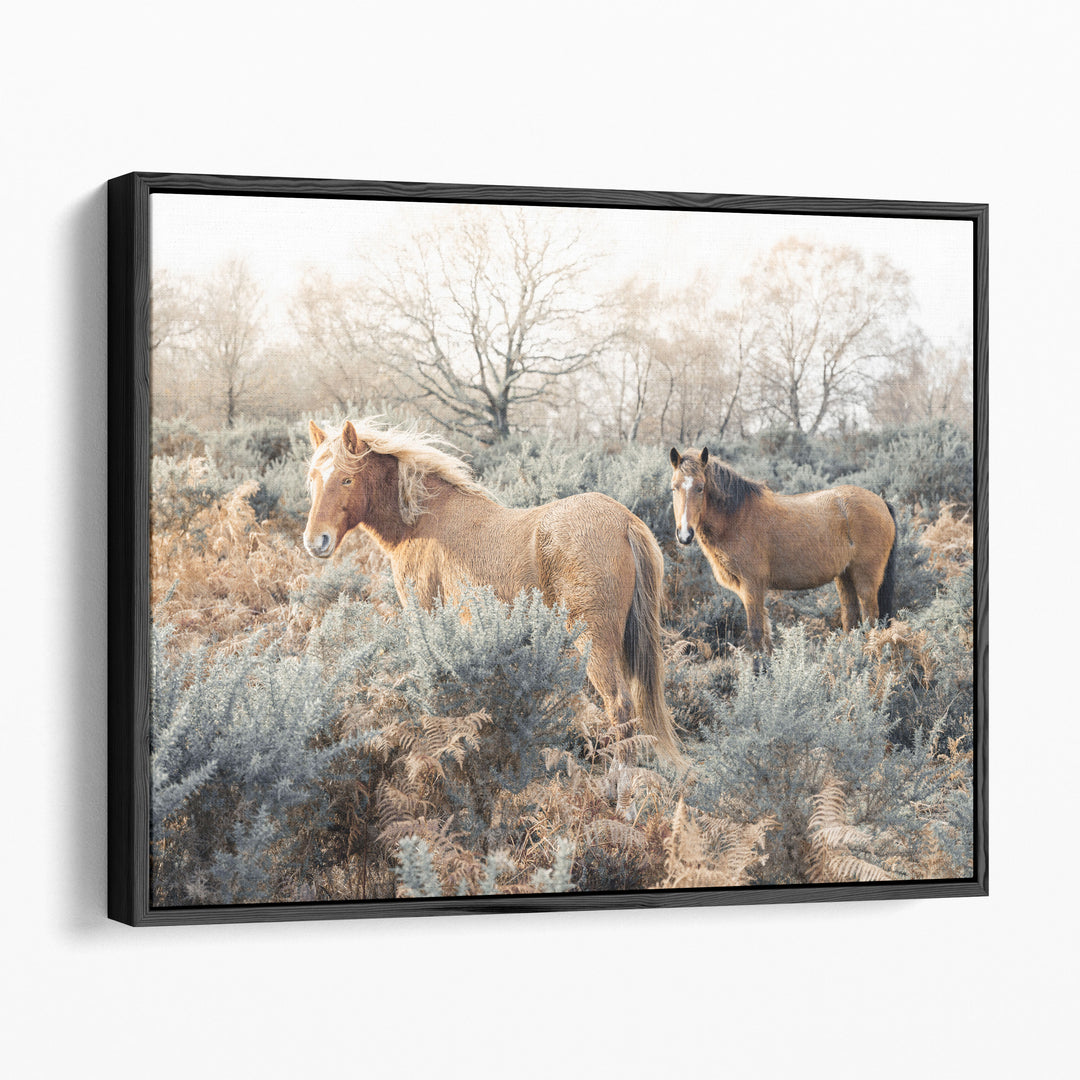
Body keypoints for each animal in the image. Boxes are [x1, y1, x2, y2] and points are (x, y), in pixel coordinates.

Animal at [303, 419, 681, 762]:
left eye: (346, 478)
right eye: (314, 479)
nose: (315, 541)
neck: (422, 521)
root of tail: (624, 521)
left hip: (594, 640)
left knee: (618, 706)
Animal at [669, 446, 897, 654]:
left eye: (700, 487)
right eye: (674, 487)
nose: (685, 535)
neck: (737, 517)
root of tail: (881, 502)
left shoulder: (752, 586)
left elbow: (756, 633)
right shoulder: (748, 590)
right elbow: (766, 635)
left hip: (866, 579)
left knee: (870, 620)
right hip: (844, 577)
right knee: (851, 619)